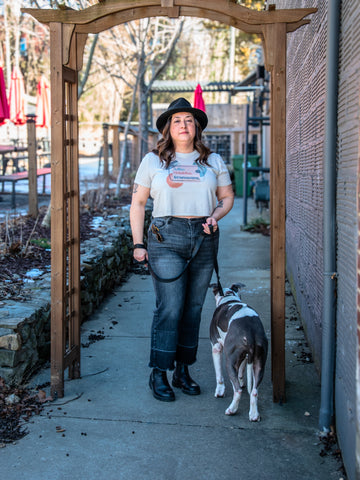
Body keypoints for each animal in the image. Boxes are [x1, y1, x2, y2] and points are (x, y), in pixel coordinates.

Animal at [208, 284, 268, 422]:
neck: (228, 297)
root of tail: (250, 333)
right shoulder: (245, 357)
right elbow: (241, 370)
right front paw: (241, 381)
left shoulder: (216, 347)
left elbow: (219, 375)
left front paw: (219, 391)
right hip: (259, 363)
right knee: (254, 391)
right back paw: (254, 415)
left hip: (229, 362)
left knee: (238, 391)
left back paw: (232, 409)